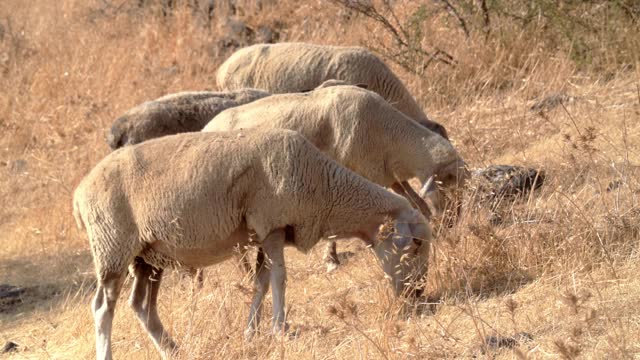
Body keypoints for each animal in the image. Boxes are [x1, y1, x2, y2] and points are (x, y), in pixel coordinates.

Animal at [76, 128, 436, 358]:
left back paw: (174, 351)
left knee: (142, 306)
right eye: (416, 244)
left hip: (148, 257)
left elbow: (261, 282)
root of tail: (79, 194)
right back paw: (109, 354)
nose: (418, 294)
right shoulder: (272, 225)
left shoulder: (263, 233)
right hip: (112, 247)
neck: (325, 187)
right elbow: (279, 278)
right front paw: (281, 328)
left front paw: (251, 332)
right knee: (103, 307)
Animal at [205, 84, 470, 270]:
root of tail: (207, 127)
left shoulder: (382, 172)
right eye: (450, 184)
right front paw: (331, 259)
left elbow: (414, 200)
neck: (388, 134)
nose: (453, 222)